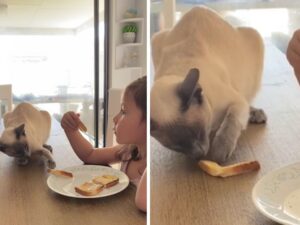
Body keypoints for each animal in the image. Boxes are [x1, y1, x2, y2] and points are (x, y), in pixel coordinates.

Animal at [151, 6, 266, 162]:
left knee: (248, 101)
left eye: (198, 133)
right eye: (177, 147)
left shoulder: (237, 102)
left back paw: (256, 113)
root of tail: (198, 7)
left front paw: (219, 152)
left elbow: (231, 120)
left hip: (254, 44)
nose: (200, 155)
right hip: (156, 39)